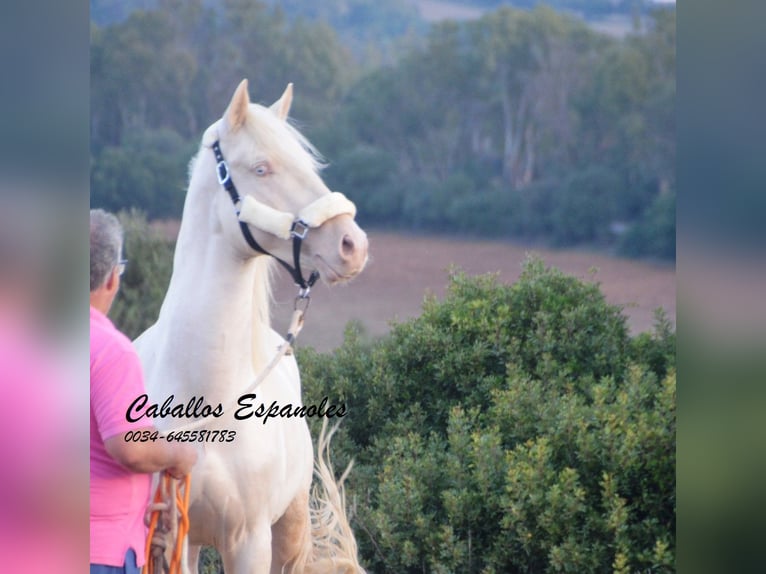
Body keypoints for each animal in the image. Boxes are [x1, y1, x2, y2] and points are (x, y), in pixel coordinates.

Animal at [134, 79, 370, 572]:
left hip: (290, 524)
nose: (352, 245)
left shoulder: (249, 540)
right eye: (262, 168)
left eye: (309, 164)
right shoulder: (173, 535)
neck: (205, 405)